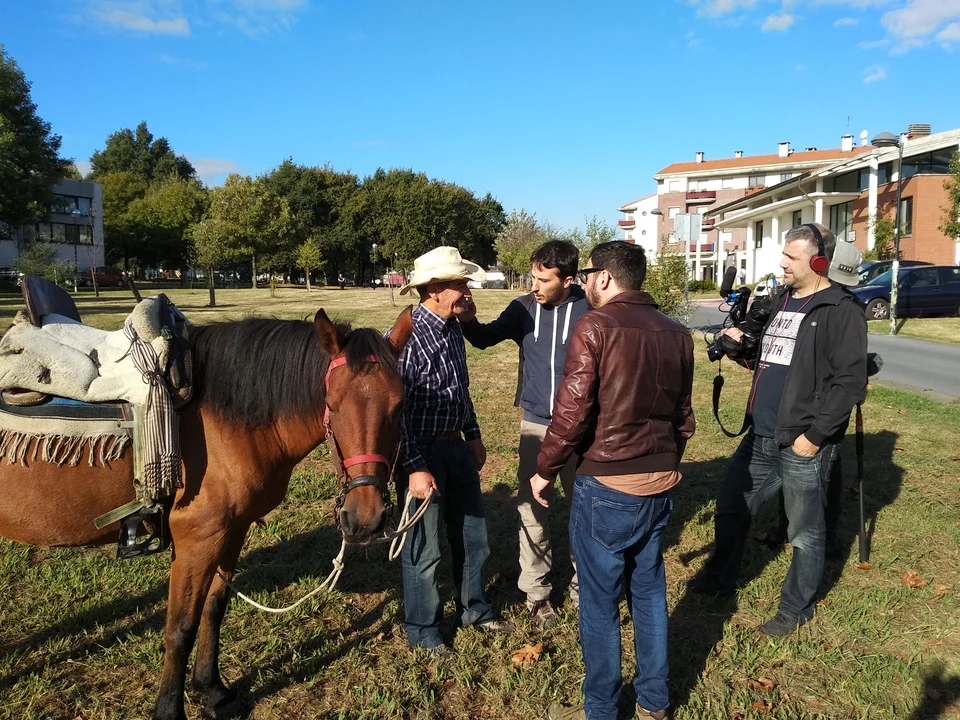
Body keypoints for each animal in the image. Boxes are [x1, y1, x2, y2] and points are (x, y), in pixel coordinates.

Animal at [0, 306, 414, 720]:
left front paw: (212, 690)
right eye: (332, 403)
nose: (365, 519)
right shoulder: (196, 540)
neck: (226, 419)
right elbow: (180, 628)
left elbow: (214, 609)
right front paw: (170, 710)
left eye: (400, 406)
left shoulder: (232, 531)